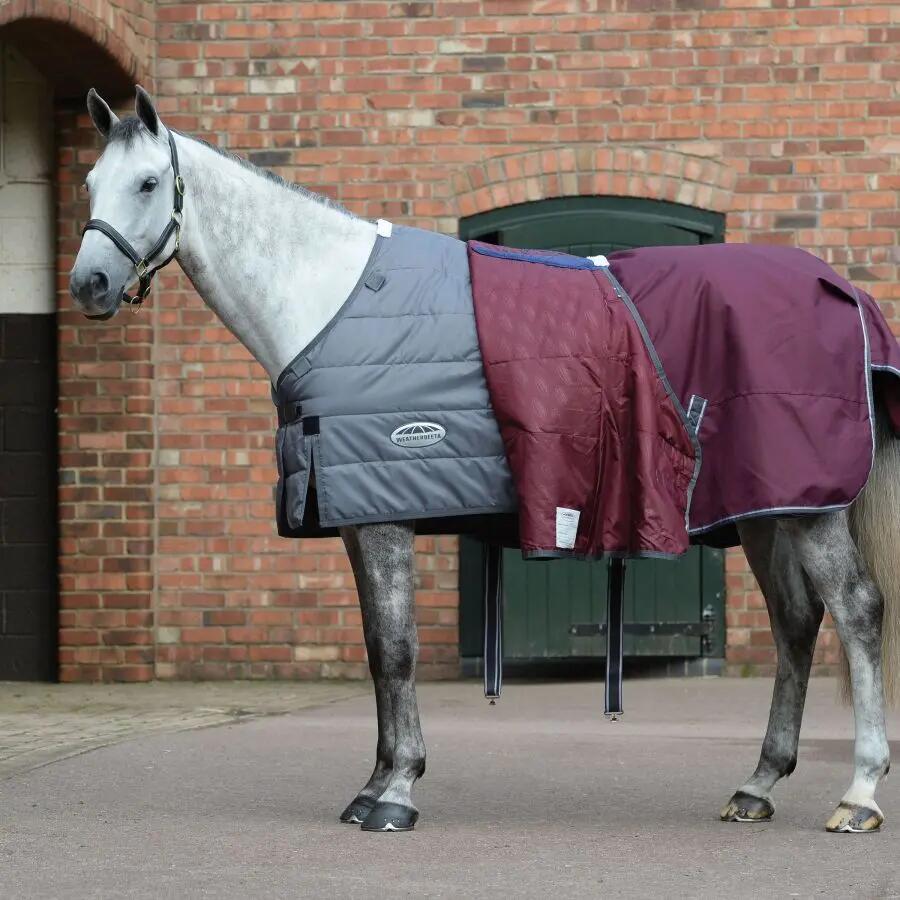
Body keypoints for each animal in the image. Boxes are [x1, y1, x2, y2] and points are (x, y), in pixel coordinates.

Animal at [68, 87, 900, 834]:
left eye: (148, 183)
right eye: (89, 185)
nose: (89, 284)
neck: (331, 302)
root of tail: (843, 289)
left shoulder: (386, 515)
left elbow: (396, 651)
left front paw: (397, 792)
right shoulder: (353, 515)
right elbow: (375, 649)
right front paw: (372, 786)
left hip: (810, 508)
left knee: (856, 610)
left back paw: (859, 792)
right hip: (765, 509)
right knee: (796, 622)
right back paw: (758, 784)